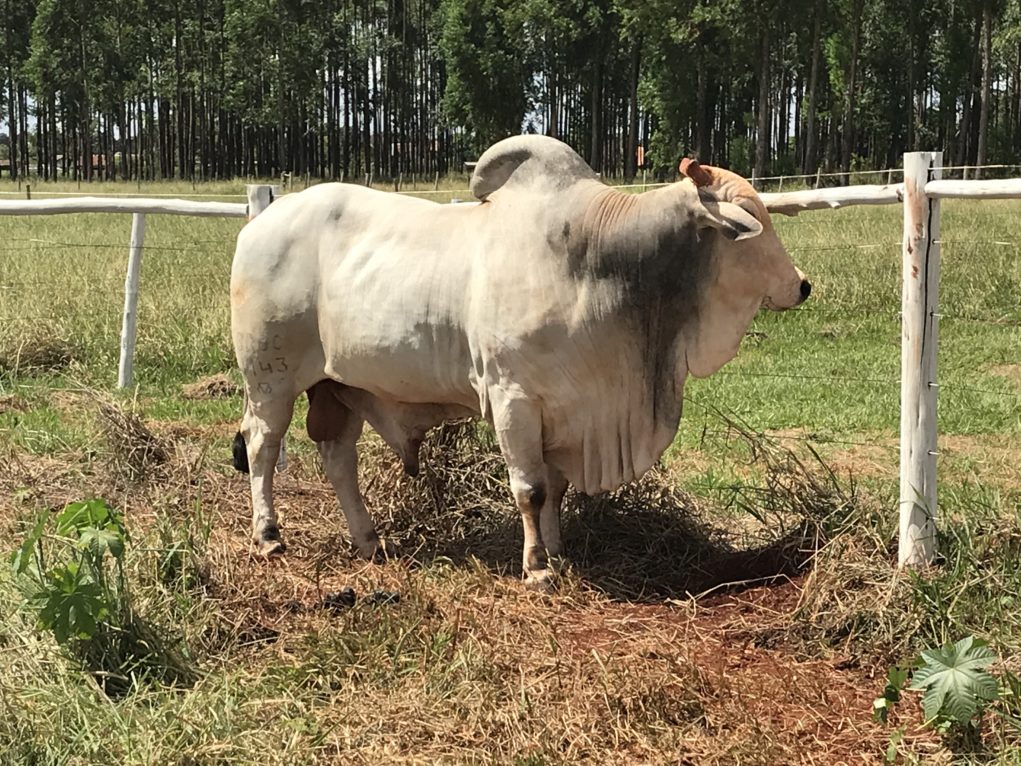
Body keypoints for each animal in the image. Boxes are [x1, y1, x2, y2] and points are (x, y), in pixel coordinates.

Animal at [227, 134, 808, 588]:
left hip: (338, 386)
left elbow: (556, 490)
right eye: (752, 223)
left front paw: (558, 552)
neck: (599, 262)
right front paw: (537, 568)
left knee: (338, 459)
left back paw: (368, 540)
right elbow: (530, 489)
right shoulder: (513, 399)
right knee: (261, 447)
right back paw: (269, 535)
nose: (801, 285)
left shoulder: (565, 408)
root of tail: (260, 222)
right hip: (270, 378)